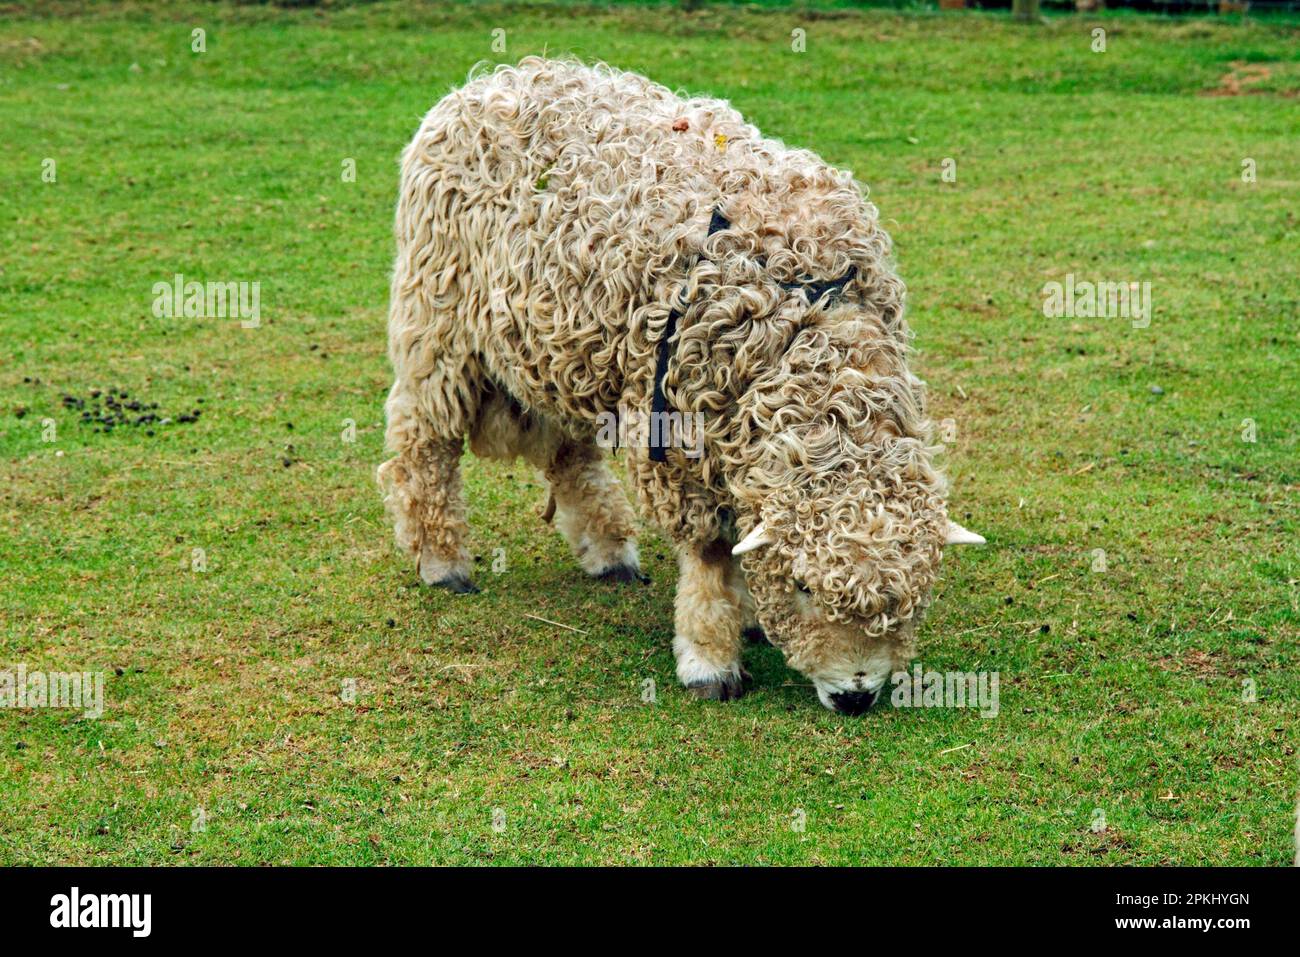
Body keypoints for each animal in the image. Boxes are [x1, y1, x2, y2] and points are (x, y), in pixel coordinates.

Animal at [371, 57, 977, 712]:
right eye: (803, 587)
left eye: (915, 596)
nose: (855, 697)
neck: (808, 309)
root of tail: (490, 80)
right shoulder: (680, 430)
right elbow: (708, 553)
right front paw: (711, 657)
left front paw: (747, 616)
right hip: (438, 322)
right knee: (424, 439)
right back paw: (442, 560)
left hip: (559, 339)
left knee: (568, 452)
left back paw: (608, 551)